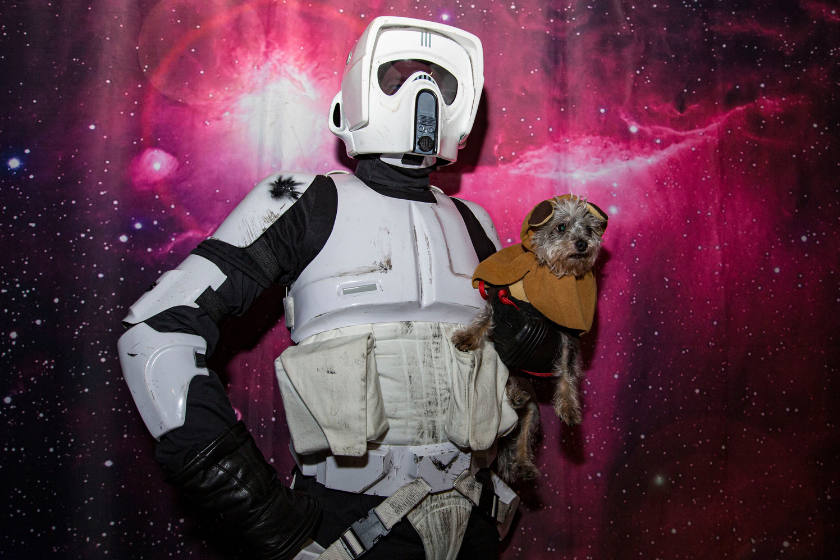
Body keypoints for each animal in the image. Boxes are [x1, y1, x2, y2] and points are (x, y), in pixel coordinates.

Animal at [452, 196, 604, 482]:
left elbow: (567, 371)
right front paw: (468, 336)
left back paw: (523, 461)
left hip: (533, 414)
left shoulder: (566, 335)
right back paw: (514, 394)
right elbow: (484, 320)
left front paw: (569, 406)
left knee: (523, 438)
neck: (547, 275)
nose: (582, 244)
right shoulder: (501, 302)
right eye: (561, 226)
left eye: (589, 230)